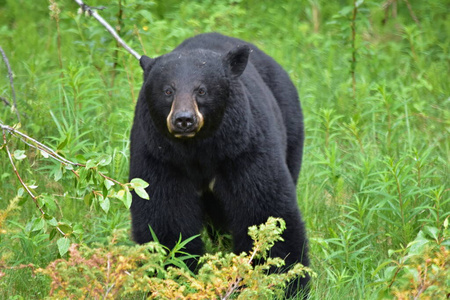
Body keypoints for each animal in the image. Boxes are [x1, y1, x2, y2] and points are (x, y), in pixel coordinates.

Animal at [128, 32, 308, 296]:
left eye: (201, 90)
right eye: (168, 90)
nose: (183, 120)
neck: (198, 150)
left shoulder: (244, 148)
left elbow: (265, 208)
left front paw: (287, 282)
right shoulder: (158, 156)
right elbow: (164, 216)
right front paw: (174, 275)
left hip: (291, 126)